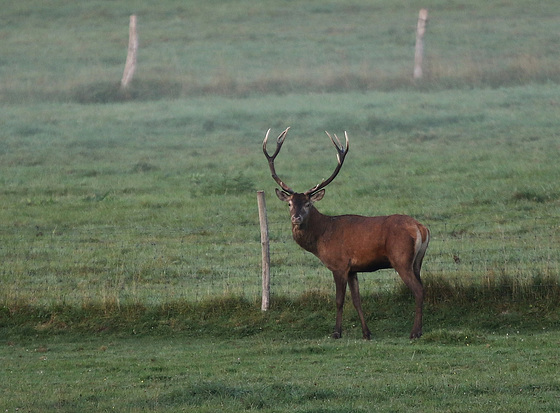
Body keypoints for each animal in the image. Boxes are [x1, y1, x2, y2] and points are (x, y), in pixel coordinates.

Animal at [262, 128, 428, 338]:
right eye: (290, 203)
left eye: (308, 204)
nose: (296, 218)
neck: (321, 238)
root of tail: (420, 228)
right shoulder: (353, 269)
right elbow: (357, 300)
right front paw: (366, 333)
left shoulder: (339, 265)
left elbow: (339, 300)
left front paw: (336, 332)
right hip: (417, 261)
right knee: (422, 286)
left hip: (401, 259)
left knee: (418, 290)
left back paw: (415, 332)